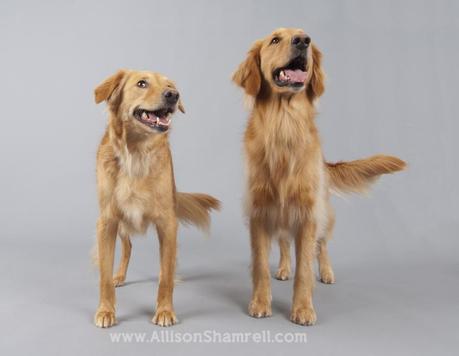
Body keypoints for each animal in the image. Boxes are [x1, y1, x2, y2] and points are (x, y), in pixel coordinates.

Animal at [93, 69, 219, 328]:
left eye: (170, 86)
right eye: (142, 83)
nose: (173, 95)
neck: (136, 154)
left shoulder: (167, 222)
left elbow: (165, 277)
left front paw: (164, 310)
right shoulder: (107, 221)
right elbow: (104, 275)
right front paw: (106, 310)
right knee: (128, 246)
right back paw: (119, 275)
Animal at [234, 28, 406, 326]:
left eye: (305, 38)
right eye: (274, 40)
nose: (303, 41)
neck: (284, 125)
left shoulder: (307, 214)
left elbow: (305, 268)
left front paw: (303, 309)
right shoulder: (259, 211)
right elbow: (260, 265)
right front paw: (260, 302)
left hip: (324, 214)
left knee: (321, 247)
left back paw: (326, 273)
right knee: (284, 242)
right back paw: (283, 268)